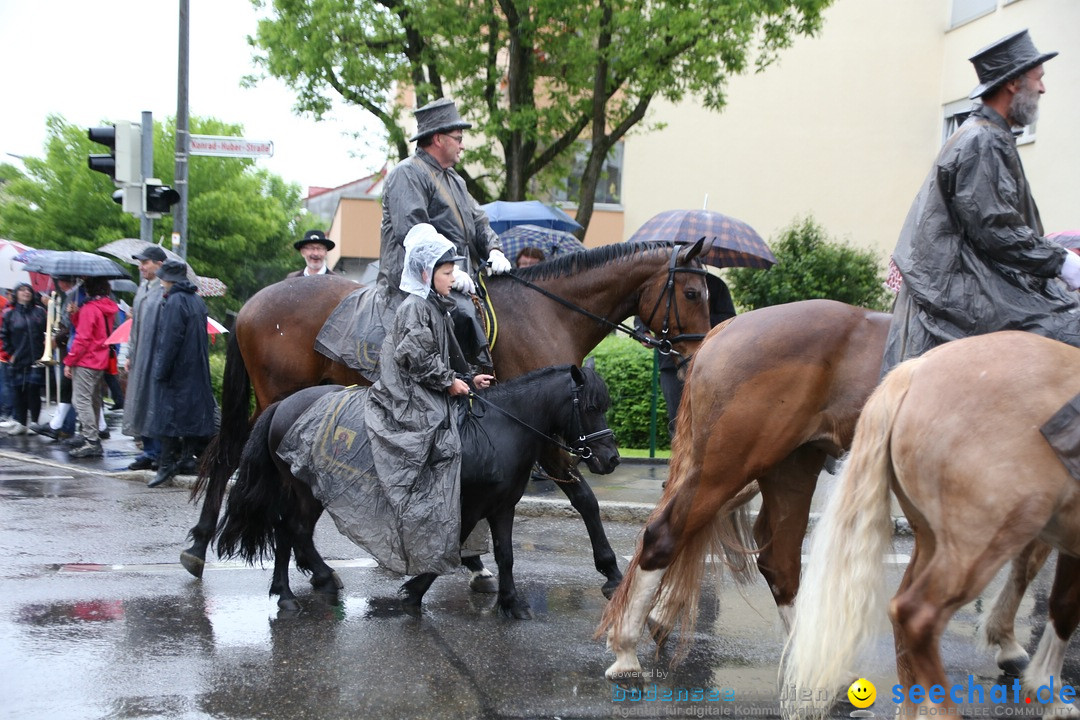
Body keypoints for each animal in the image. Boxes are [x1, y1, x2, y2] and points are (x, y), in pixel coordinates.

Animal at [181, 240, 712, 591]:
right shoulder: (547, 433)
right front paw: (610, 568)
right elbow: (584, 498)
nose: (698, 358)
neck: (548, 314)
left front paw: (473, 561)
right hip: (278, 399)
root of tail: (253, 303)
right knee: (236, 461)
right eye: (692, 293)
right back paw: (212, 549)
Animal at [212, 362, 617, 617]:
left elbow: (506, 555)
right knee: (291, 529)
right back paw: (293, 593)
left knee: (289, 531)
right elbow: (452, 548)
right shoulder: (467, 506)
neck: (501, 430)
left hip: (307, 490)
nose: (610, 458)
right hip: (305, 489)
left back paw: (305, 586)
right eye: (590, 406)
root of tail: (282, 404)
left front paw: (511, 603)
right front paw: (414, 592)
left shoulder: (502, 506)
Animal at [600, 297, 1045, 682]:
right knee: (665, 535)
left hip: (790, 468)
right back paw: (626, 648)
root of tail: (725, 329)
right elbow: (1028, 562)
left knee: (779, 561)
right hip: (728, 465)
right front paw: (1008, 642)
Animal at [781, 334, 1080, 720]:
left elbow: (1058, 601)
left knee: (900, 611)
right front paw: (1050, 691)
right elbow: (1062, 604)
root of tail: (914, 371)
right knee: (916, 616)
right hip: (983, 540)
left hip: (934, 538)